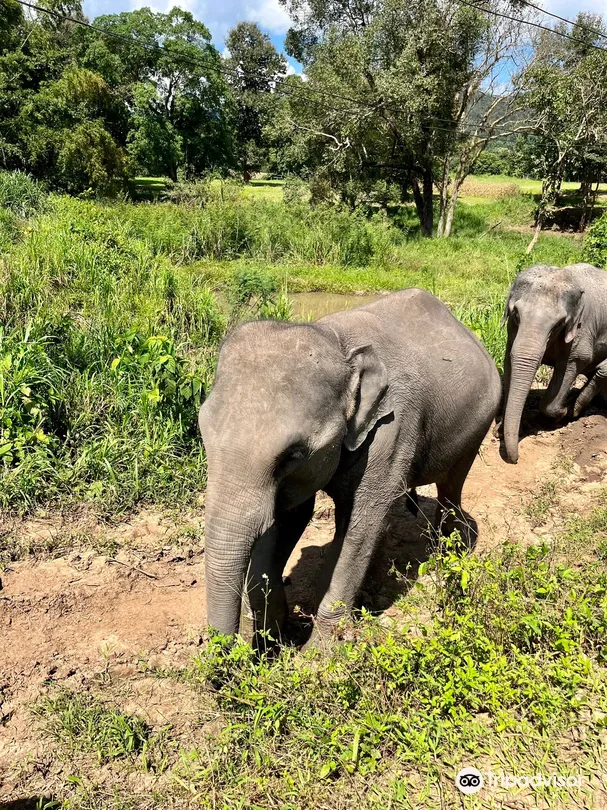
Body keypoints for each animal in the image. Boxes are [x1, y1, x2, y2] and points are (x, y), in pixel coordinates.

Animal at [198, 289, 501, 641]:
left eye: (293, 455)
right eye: (202, 428)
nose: (226, 647)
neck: (336, 342)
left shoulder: (392, 428)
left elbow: (361, 525)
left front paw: (320, 649)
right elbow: (290, 517)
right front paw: (274, 633)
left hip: (480, 422)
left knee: (451, 484)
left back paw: (447, 554)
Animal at [500, 263, 607, 464]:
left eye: (558, 324)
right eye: (516, 314)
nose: (515, 460)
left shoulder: (582, 330)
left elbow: (571, 365)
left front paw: (561, 413)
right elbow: (510, 358)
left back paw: (575, 408)